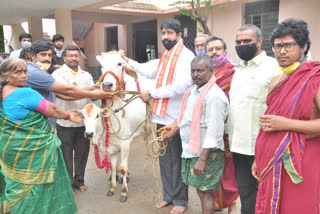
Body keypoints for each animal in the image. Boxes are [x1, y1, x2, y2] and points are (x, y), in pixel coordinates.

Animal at [79, 50, 151, 202]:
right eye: (101, 65)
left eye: (120, 63)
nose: (106, 84)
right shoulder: (112, 146)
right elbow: (113, 167)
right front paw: (112, 187)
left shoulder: (125, 143)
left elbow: (123, 168)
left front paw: (124, 192)